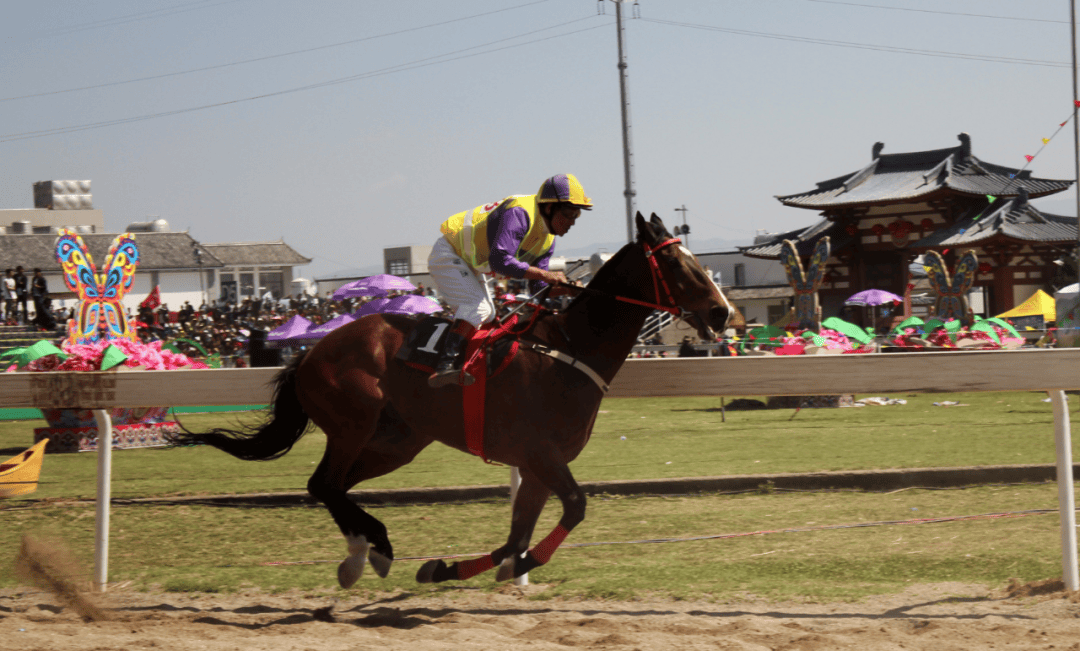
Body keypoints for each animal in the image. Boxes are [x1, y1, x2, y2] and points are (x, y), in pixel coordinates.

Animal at [169, 212, 731, 588]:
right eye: (677, 262)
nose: (722, 313)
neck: (567, 349)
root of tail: (310, 352)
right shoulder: (543, 454)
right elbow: (574, 507)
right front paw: (509, 567)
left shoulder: (537, 464)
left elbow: (517, 536)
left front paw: (452, 568)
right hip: (353, 423)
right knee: (323, 483)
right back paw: (366, 552)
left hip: (398, 441)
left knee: (335, 487)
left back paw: (368, 551)